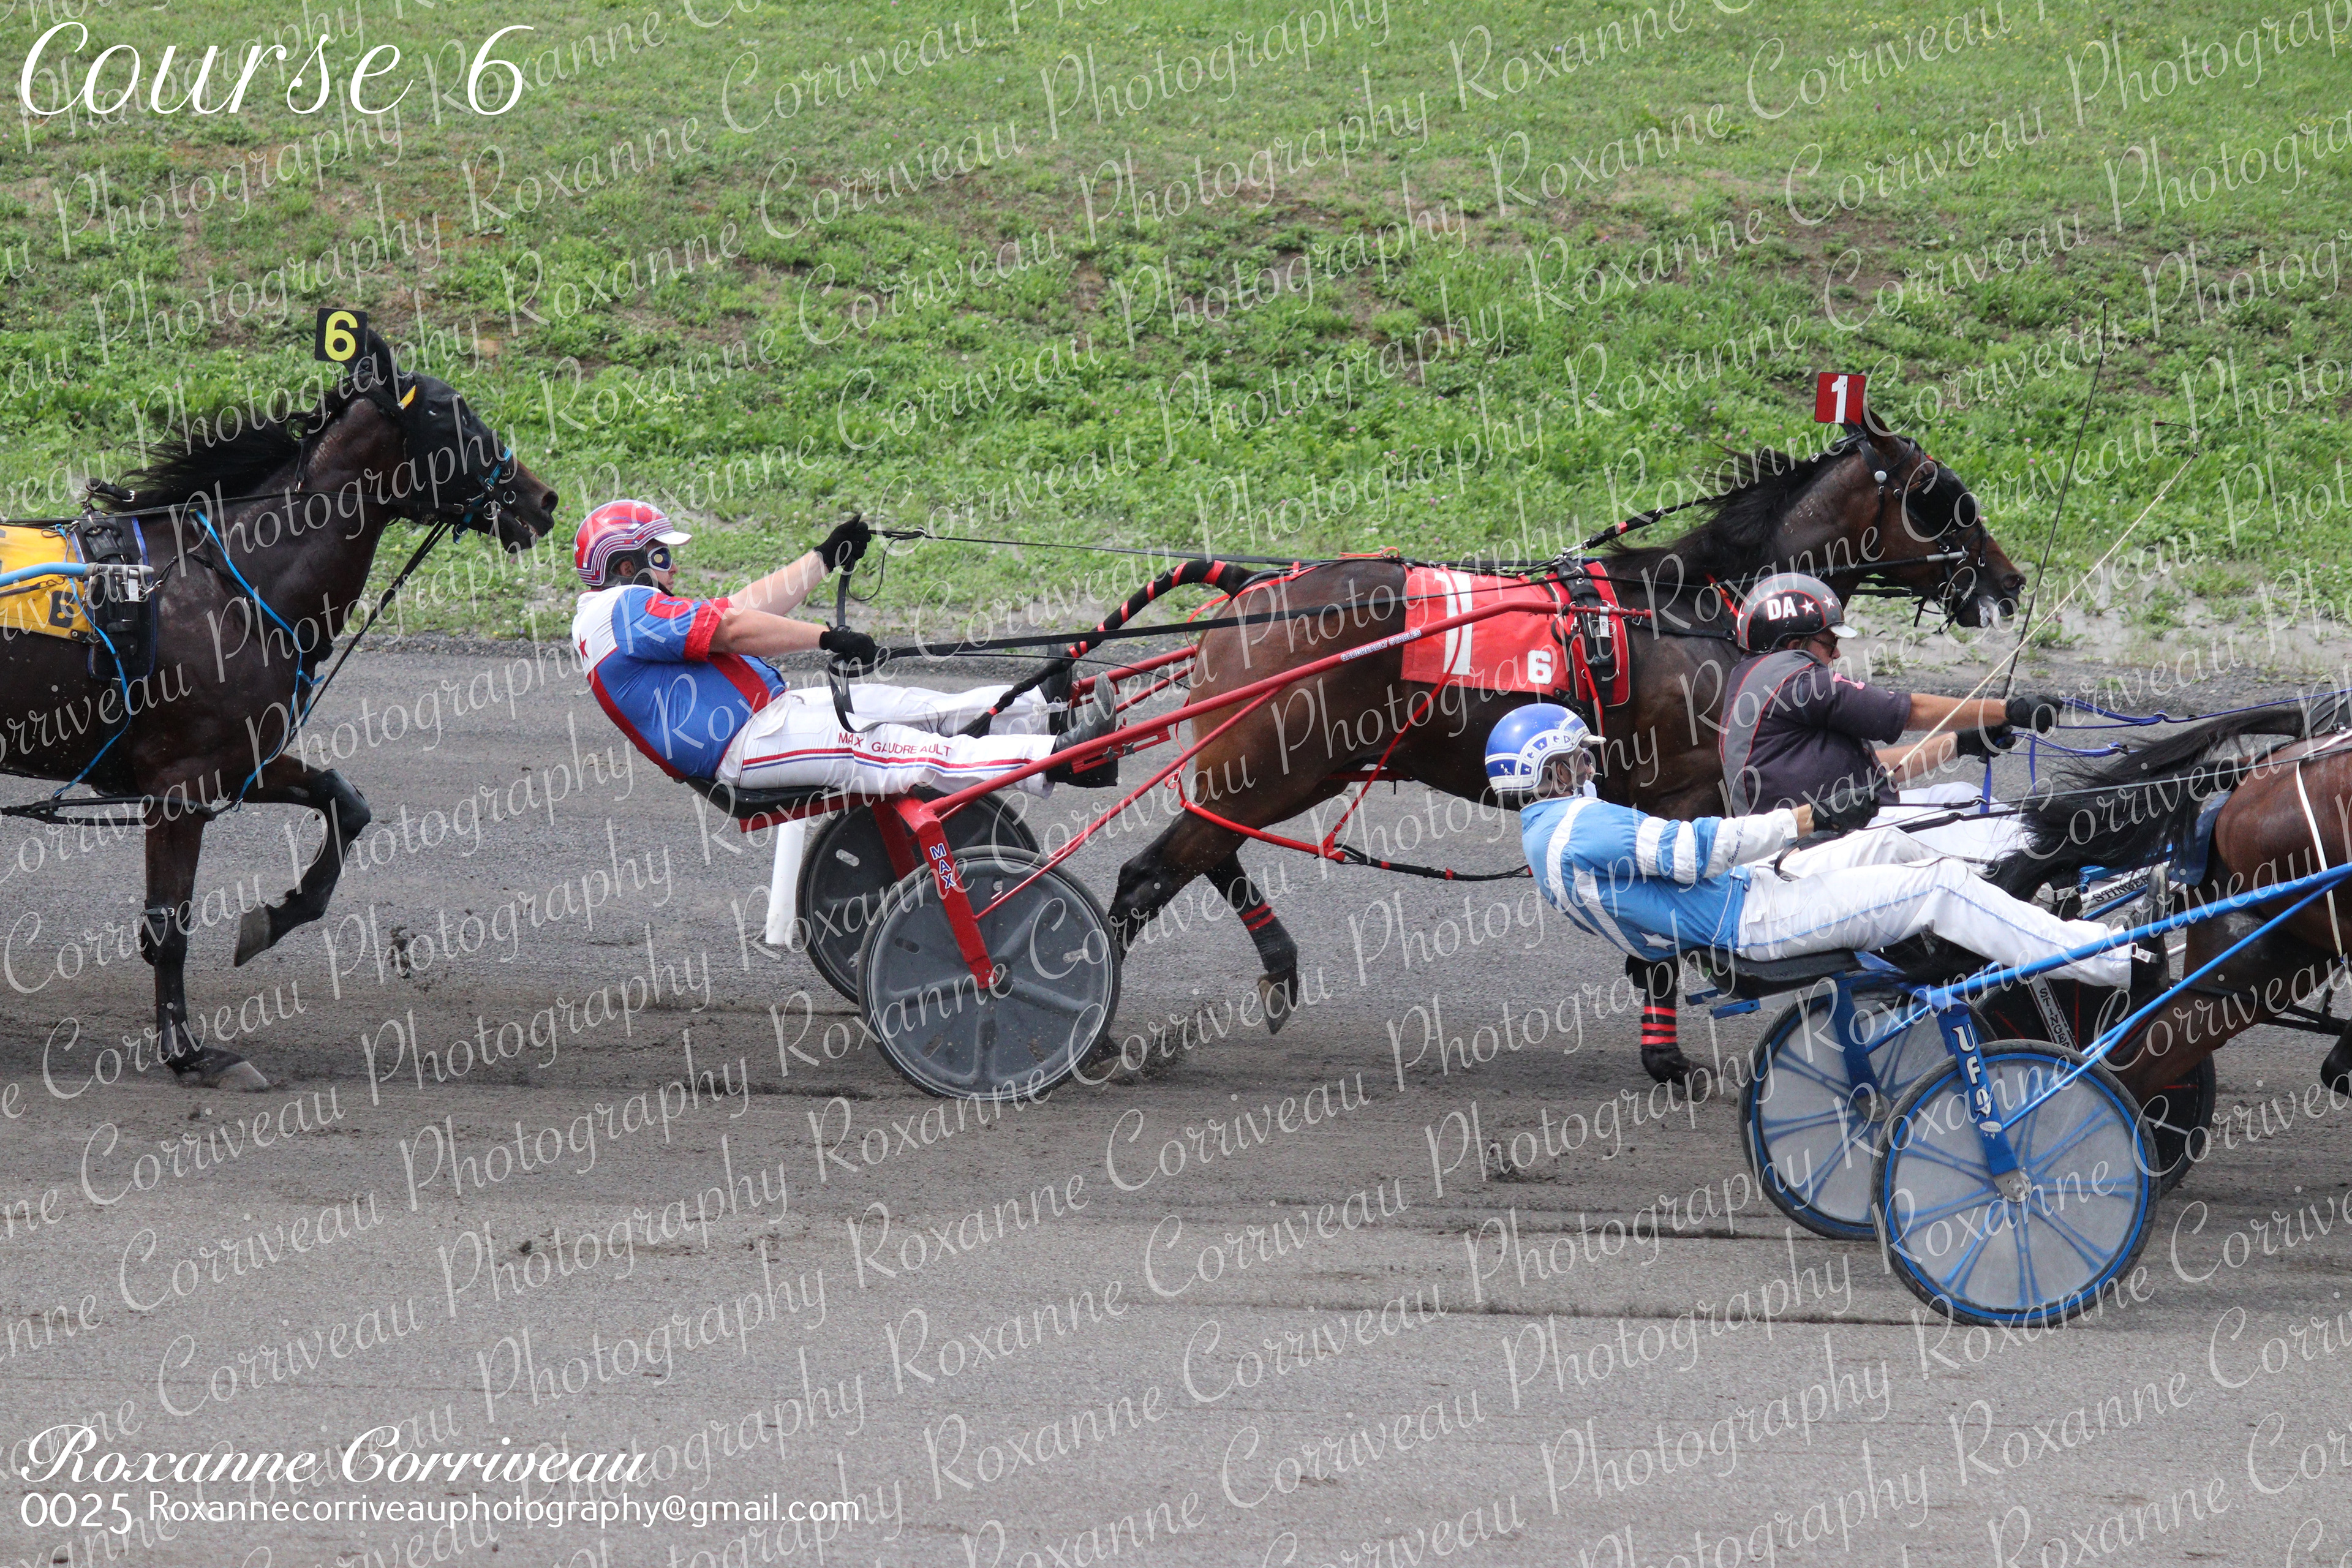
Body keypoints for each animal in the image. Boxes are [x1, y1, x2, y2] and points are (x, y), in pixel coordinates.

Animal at [0, 329, 558, 1090]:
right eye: (452, 417)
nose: (542, 497)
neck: (232, 583)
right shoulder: (179, 784)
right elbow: (168, 924)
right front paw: (190, 1051)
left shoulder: (234, 761)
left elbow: (344, 801)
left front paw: (277, 915)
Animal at [1108, 424, 2025, 1081]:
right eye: (1946, 499)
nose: (2010, 584)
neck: (1697, 611)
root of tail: (1253, 588)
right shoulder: (1681, 792)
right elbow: (1665, 929)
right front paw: (1668, 1056)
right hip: (1273, 765)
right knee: (1149, 874)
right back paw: (1097, 1035)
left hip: (1282, 769)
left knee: (1204, 849)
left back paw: (1274, 965)